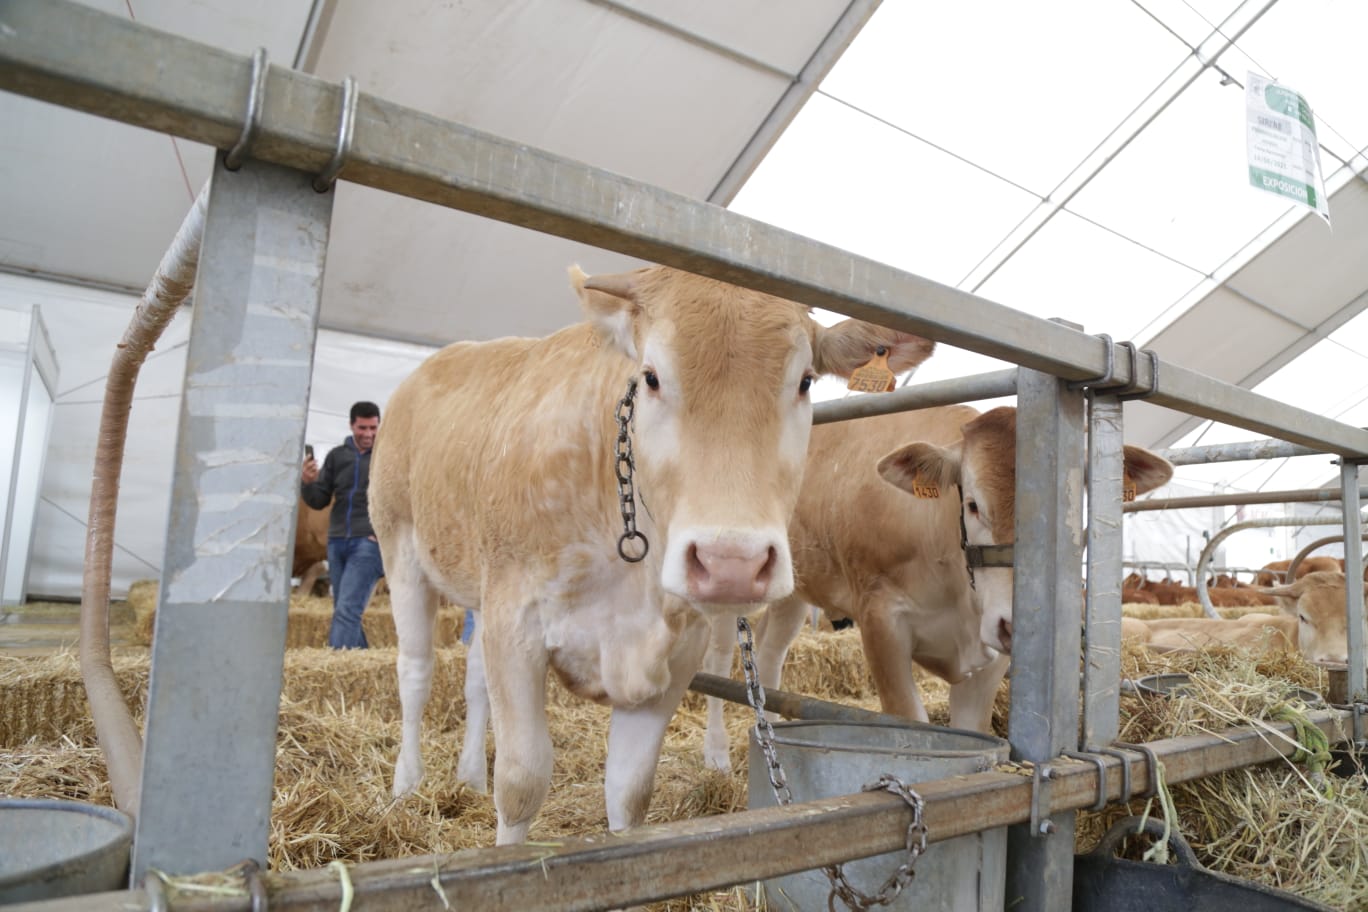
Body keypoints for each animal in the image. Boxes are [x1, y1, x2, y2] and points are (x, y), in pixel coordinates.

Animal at [369, 262, 935, 842]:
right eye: (651, 377)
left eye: (804, 382)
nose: (732, 563)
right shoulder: (516, 621)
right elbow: (522, 782)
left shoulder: (674, 651)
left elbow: (630, 793)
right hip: (399, 544)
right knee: (416, 670)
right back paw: (406, 785)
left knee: (475, 680)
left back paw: (468, 777)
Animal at [700, 407, 1171, 771]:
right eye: (973, 504)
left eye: (1078, 504)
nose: (1017, 624)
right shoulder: (881, 621)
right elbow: (911, 720)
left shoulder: (991, 648)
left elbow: (969, 730)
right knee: (720, 657)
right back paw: (717, 755)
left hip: (794, 589)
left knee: (769, 652)